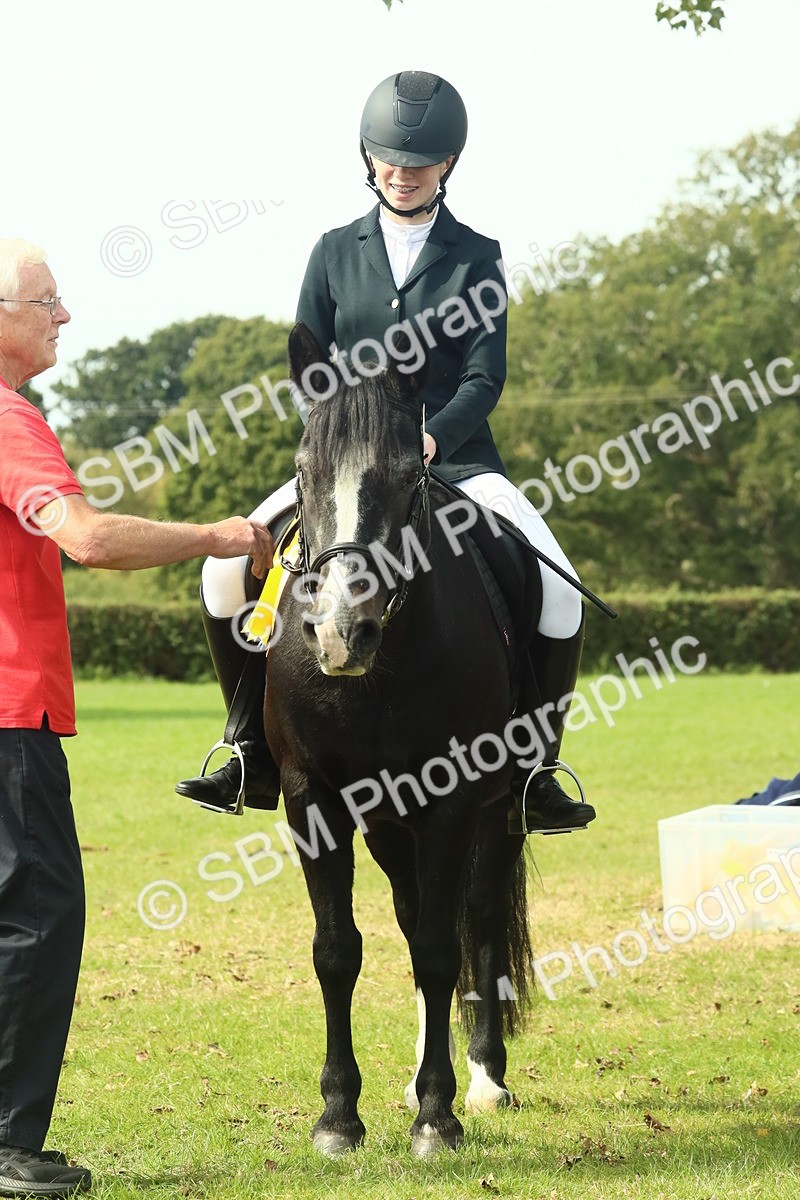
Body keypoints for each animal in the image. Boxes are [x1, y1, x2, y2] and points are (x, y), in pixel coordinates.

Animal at [262, 322, 537, 1157]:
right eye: (303, 470)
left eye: (410, 469)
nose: (340, 633)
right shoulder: (312, 796)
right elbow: (337, 950)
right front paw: (337, 1115)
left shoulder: (453, 796)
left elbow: (446, 948)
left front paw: (438, 1117)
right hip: (387, 821)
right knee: (416, 916)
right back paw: (419, 1076)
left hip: (501, 808)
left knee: (476, 917)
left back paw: (481, 1079)